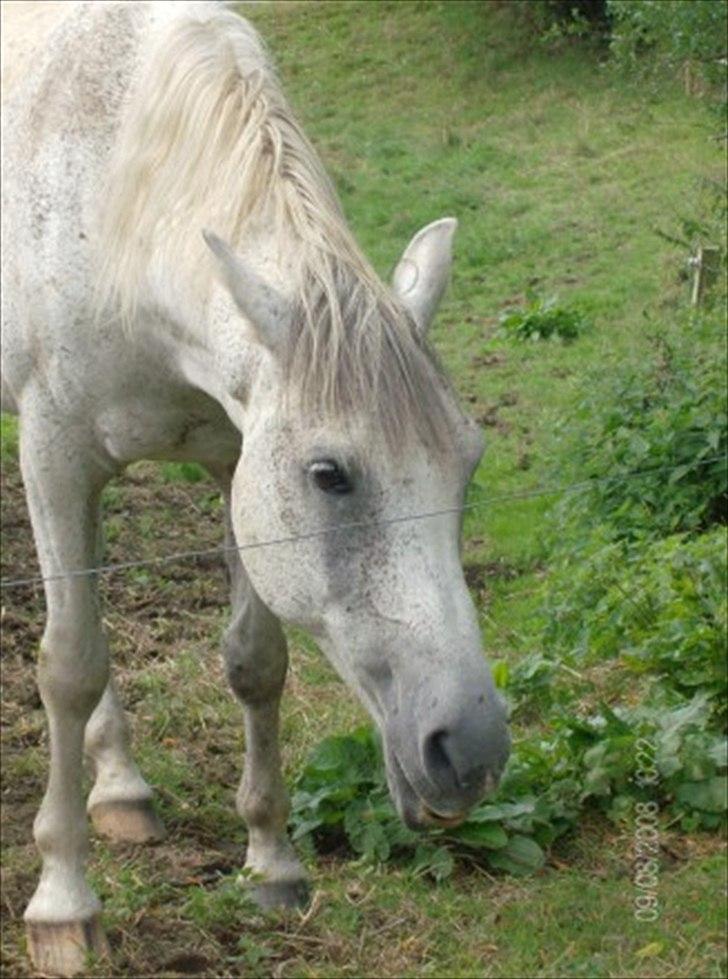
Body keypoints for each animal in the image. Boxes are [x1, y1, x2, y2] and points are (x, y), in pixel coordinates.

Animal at [1, 3, 512, 976]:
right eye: (330, 474)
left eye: (467, 463)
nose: (470, 748)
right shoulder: (53, 452)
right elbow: (70, 663)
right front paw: (62, 900)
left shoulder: (234, 458)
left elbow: (255, 661)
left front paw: (272, 861)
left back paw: (120, 787)